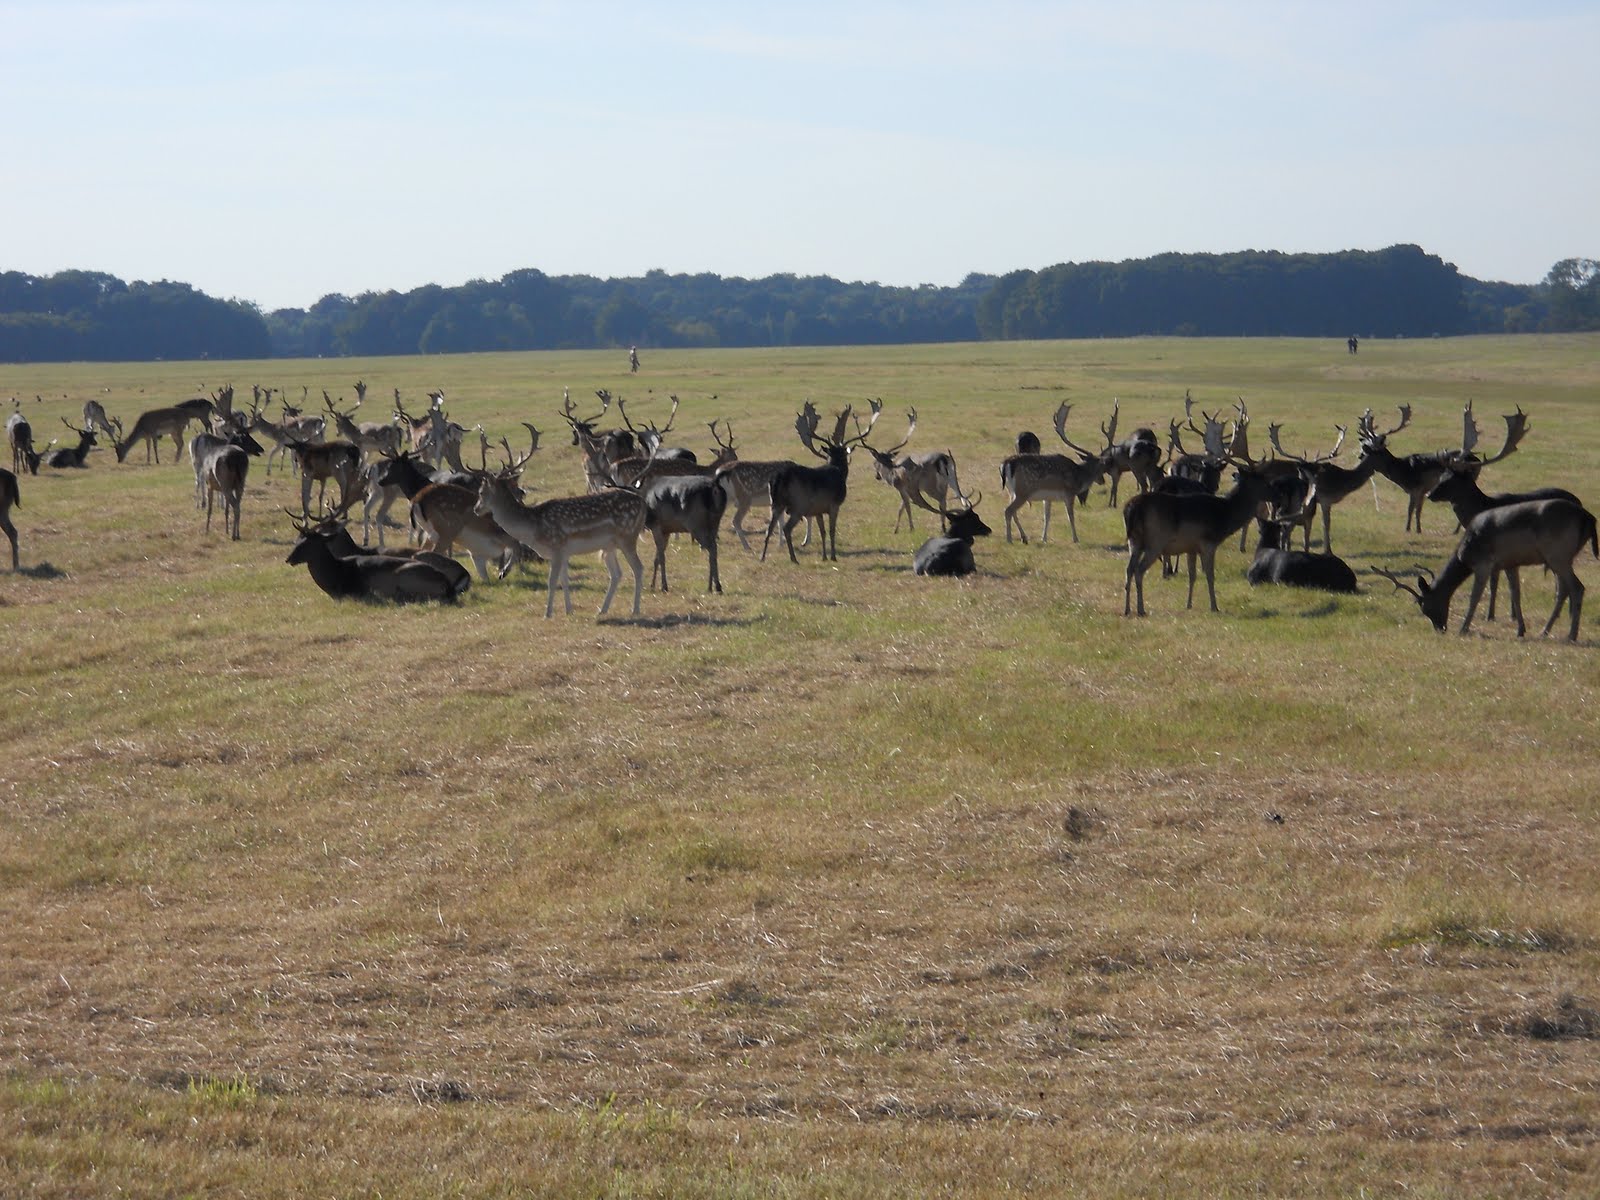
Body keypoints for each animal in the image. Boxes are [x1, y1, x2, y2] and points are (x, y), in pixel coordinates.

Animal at [471, 428, 648, 618]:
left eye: (481, 492)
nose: (476, 509)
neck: (534, 528)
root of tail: (643, 503)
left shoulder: (556, 547)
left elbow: (552, 581)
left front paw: (547, 614)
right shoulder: (564, 552)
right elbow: (564, 580)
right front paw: (568, 610)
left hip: (627, 536)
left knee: (638, 568)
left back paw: (635, 610)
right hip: (609, 545)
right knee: (617, 574)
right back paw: (602, 610)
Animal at [761, 398, 882, 564]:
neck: (838, 471)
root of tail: (778, 478)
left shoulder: (817, 509)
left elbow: (823, 531)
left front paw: (824, 557)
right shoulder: (834, 504)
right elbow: (831, 530)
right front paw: (833, 556)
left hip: (776, 503)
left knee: (769, 529)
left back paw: (762, 557)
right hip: (798, 505)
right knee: (786, 528)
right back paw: (793, 558)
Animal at [999, 402, 1110, 544]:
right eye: (1102, 465)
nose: (1102, 481)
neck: (1078, 476)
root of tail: (1006, 464)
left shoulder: (1048, 497)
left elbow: (1047, 516)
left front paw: (1044, 538)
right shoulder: (1069, 493)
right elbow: (1070, 516)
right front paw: (1076, 539)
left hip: (1011, 491)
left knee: (1013, 512)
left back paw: (1024, 537)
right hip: (1023, 491)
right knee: (1008, 511)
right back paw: (1009, 539)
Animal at [1123, 454, 1277, 617]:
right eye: (1262, 480)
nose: (1277, 493)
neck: (1225, 517)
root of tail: (1130, 509)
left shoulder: (1191, 547)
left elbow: (1192, 576)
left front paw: (1189, 605)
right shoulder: (1208, 543)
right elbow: (1210, 575)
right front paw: (1214, 606)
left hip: (1134, 541)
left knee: (1129, 569)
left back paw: (1127, 609)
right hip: (1155, 541)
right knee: (1139, 570)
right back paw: (1141, 609)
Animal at [1374, 498, 1597, 641]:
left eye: (1425, 607)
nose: (1440, 629)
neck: (1466, 551)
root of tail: (1589, 518)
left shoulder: (1484, 563)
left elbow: (1476, 596)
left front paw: (1463, 628)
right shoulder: (1510, 563)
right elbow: (1516, 595)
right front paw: (1520, 630)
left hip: (1557, 553)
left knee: (1577, 587)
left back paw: (1571, 635)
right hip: (1560, 558)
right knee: (1563, 590)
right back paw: (1545, 631)